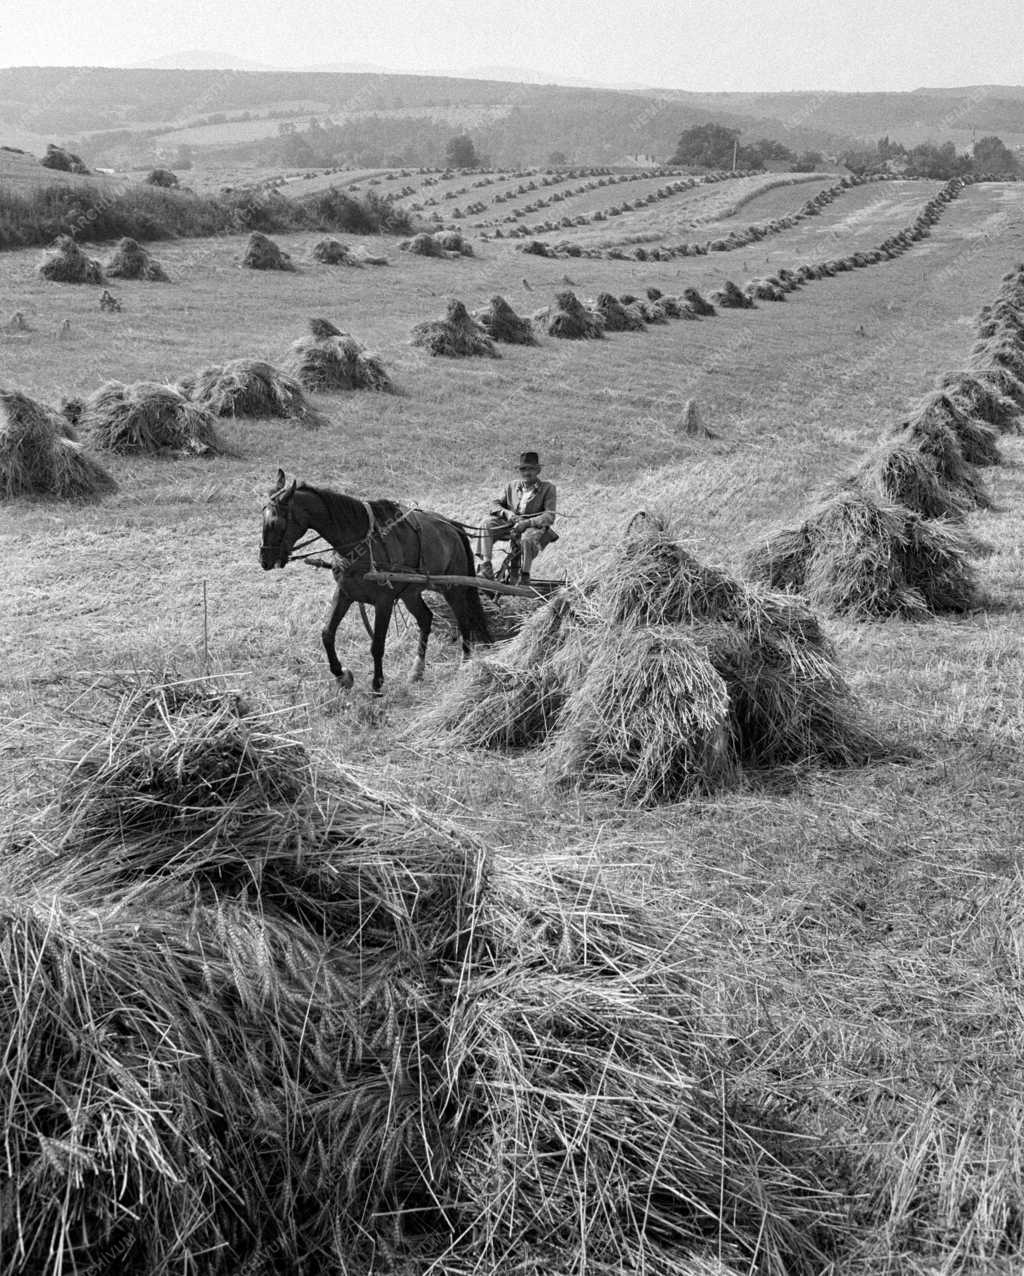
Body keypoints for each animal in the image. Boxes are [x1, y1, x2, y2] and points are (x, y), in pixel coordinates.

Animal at [260, 467, 492, 689]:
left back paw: (465, 662)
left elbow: (377, 643)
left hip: (453, 588)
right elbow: (327, 634)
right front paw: (341, 674)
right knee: (426, 618)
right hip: (410, 593)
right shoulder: (345, 593)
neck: (360, 543)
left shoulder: (384, 601)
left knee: (464, 620)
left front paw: (377, 684)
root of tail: (452, 526)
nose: (264, 560)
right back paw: (417, 670)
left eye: (276, 523)